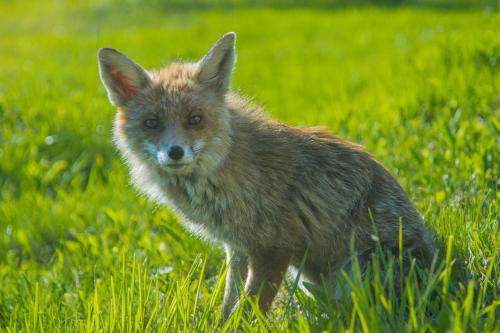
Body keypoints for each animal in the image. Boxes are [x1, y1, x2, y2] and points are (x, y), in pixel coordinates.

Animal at [96, 31, 434, 320]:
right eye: (152, 123)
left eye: (195, 119)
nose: (175, 152)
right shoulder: (238, 248)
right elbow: (229, 306)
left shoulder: (274, 249)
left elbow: (246, 311)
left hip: (357, 273)